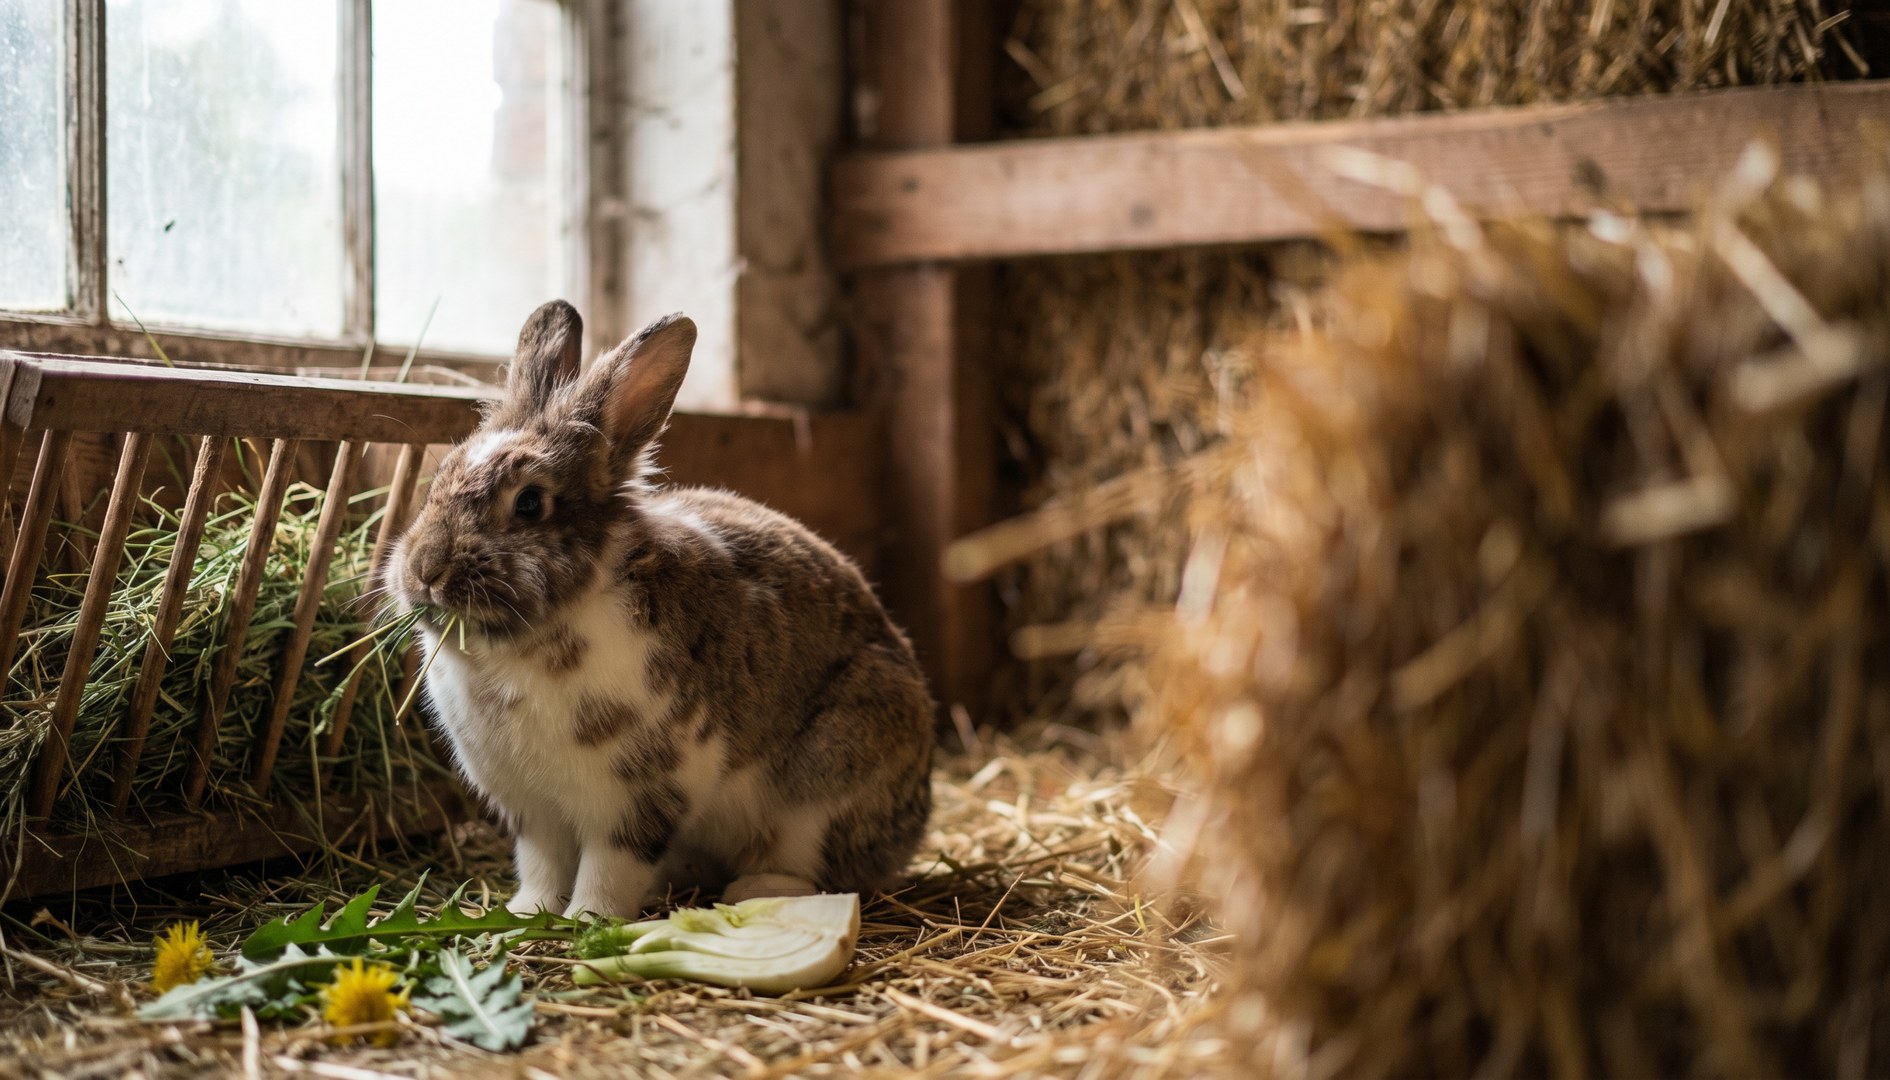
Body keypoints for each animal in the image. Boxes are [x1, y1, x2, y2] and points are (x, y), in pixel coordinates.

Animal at [387, 300, 935, 918]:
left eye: (529, 503)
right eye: (441, 474)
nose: (424, 571)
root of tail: (916, 817)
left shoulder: (638, 797)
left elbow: (610, 868)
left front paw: (588, 920)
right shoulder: (532, 810)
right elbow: (541, 865)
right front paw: (526, 914)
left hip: (823, 788)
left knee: (819, 868)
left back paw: (755, 889)